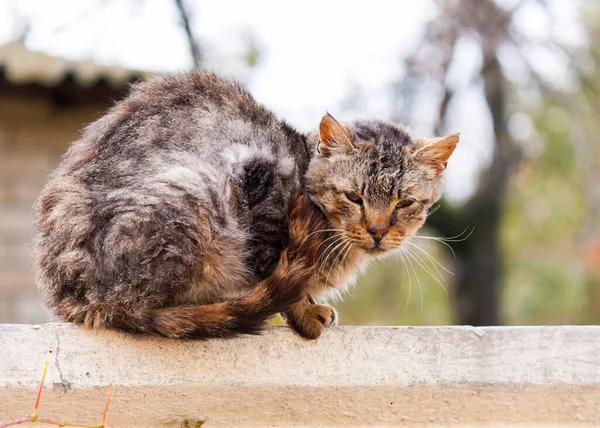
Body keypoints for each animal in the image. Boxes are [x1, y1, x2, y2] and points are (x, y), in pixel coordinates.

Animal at [32, 73, 458, 342]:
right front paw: (306, 314)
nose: (378, 231)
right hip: (195, 189)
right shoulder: (260, 191)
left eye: (404, 203)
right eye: (354, 197)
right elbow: (281, 271)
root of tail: (79, 298)